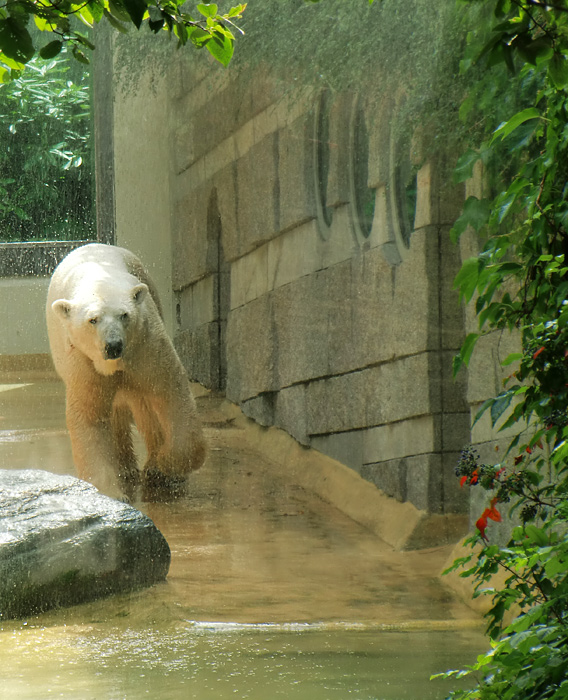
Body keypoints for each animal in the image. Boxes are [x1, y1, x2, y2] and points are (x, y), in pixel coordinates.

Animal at [46, 243, 206, 500]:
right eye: (93, 320)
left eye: (124, 315)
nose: (113, 345)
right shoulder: (83, 360)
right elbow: (90, 415)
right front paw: (111, 492)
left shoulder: (145, 345)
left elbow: (170, 392)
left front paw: (164, 466)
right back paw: (126, 468)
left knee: (143, 408)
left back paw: (151, 465)